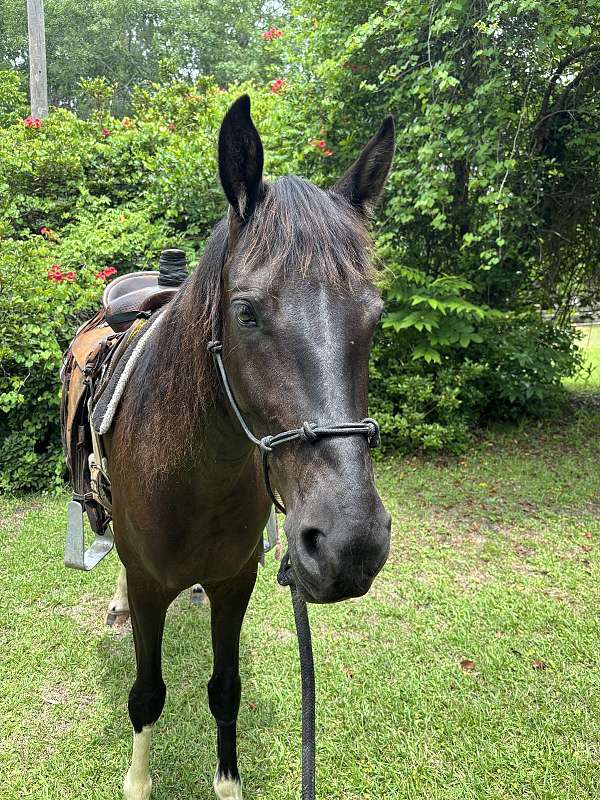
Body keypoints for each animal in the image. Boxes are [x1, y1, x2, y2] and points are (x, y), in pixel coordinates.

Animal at [104, 95, 394, 800]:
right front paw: (137, 781)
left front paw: (228, 781)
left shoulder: (236, 582)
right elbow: (146, 696)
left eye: (375, 316)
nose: (350, 544)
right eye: (245, 312)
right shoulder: (149, 584)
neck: (194, 478)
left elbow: (225, 691)